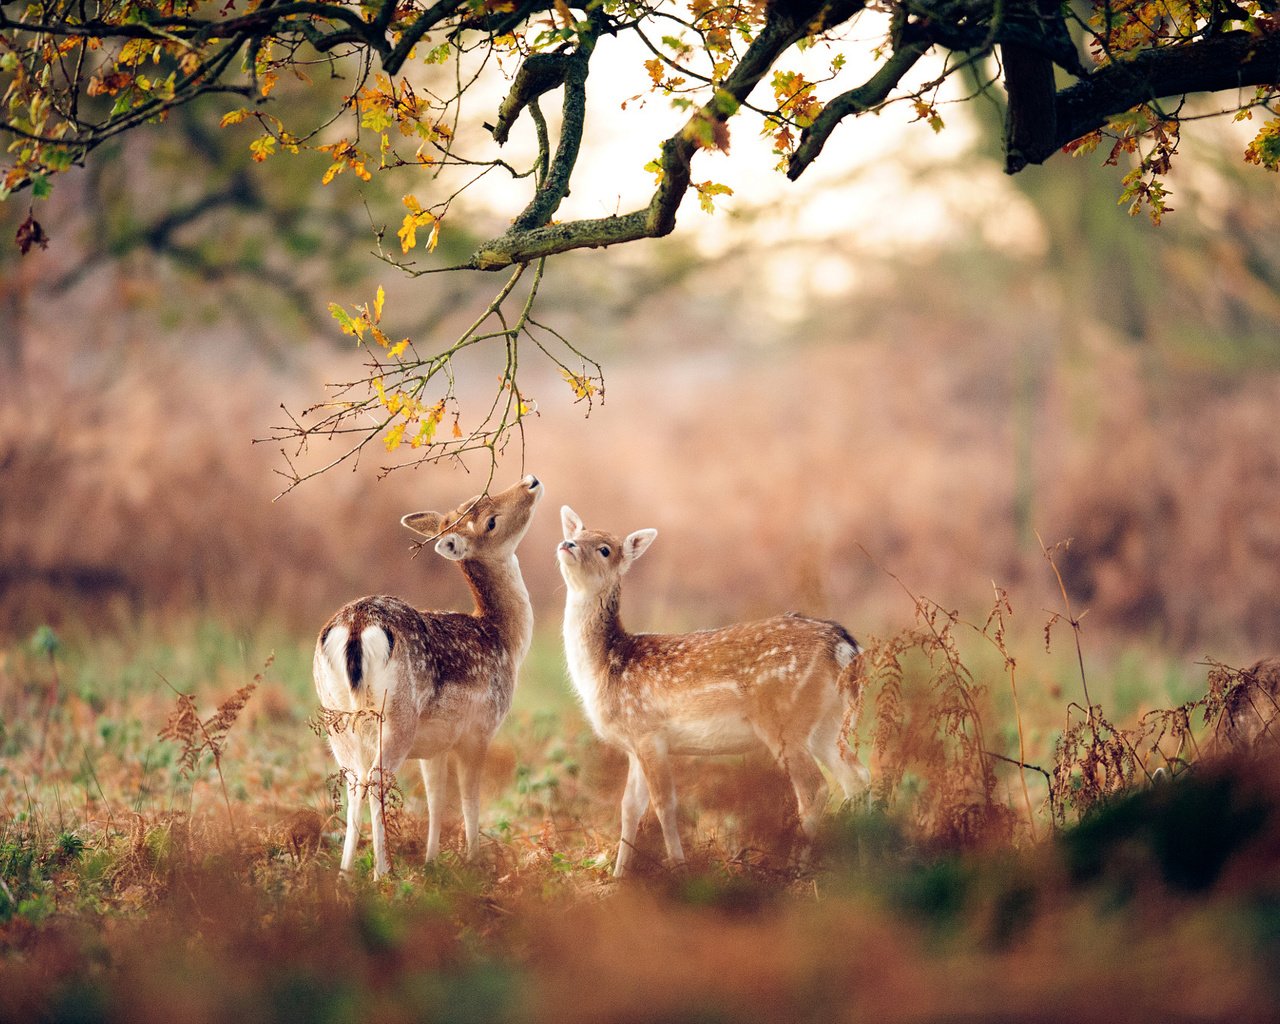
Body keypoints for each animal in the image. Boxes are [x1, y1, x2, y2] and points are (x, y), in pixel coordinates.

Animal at [318, 476, 545, 875]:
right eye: (490, 522)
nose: (530, 481)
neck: (503, 637)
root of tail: (355, 625)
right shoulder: (479, 730)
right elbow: (470, 798)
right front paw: (473, 861)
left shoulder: (434, 746)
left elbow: (436, 797)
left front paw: (432, 861)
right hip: (397, 716)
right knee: (376, 778)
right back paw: (383, 872)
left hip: (337, 719)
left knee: (354, 780)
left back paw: (345, 874)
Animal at [560, 506, 870, 875]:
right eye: (577, 534)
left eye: (605, 549)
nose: (567, 545)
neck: (606, 668)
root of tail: (845, 648)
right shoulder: (634, 744)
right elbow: (629, 807)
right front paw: (619, 875)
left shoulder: (649, 732)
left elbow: (664, 804)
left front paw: (678, 867)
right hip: (829, 723)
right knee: (857, 777)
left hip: (784, 720)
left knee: (815, 788)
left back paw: (794, 868)